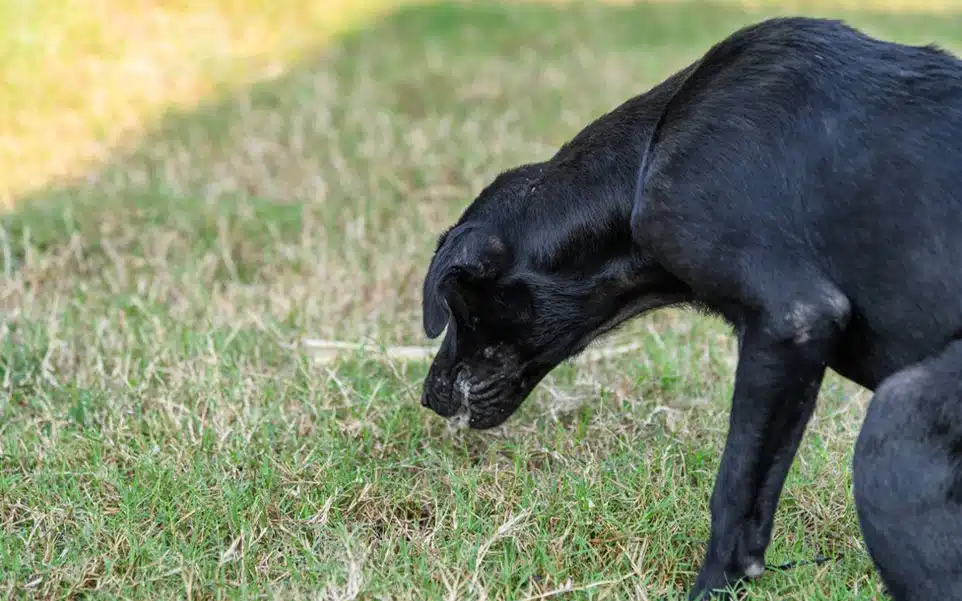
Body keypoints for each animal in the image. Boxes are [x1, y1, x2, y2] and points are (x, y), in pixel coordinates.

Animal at [422, 16, 962, 596]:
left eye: (459, 308)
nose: (429, 396)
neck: (645, 160)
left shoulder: (793, 319)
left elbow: (732, 491)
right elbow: (756, 511)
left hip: (896, 416)